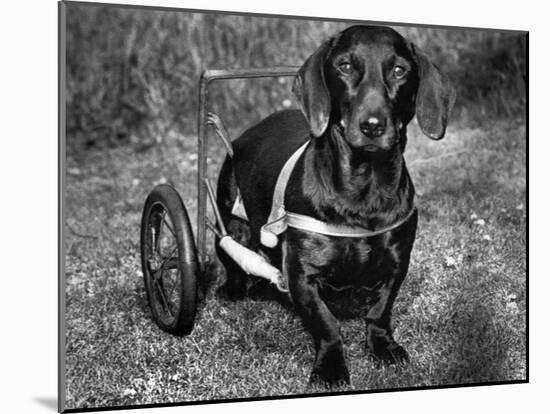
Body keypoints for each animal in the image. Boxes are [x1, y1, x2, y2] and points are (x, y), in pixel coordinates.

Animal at [216, 25, 458, 384]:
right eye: (344, 66)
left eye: (399, 70)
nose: (372, 126)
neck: (364, 187)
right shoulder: (302, 272)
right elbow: (326, 323)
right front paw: (330, 366)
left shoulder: (397, 262)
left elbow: (380, 311)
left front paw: (383, 347)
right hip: (228, 218)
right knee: (231, 254)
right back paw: (235, 287)